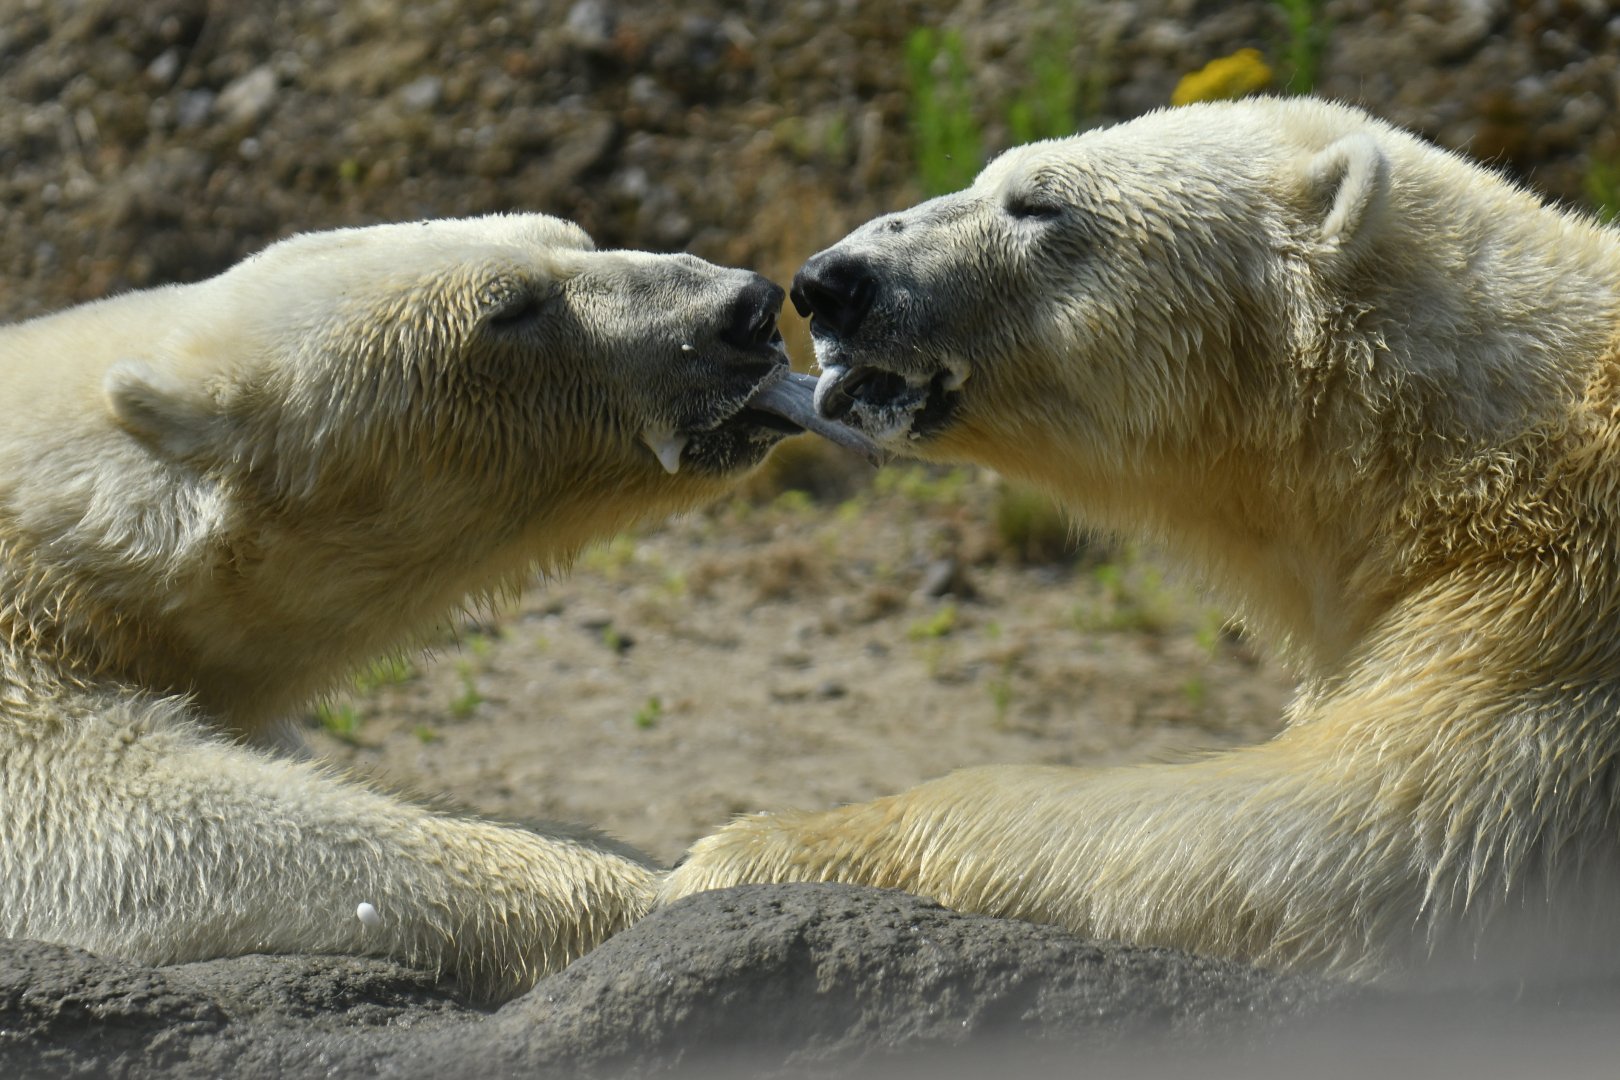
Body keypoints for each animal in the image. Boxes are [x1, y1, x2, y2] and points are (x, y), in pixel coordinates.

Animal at [662, 98, 1620, 986]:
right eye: (986, 175)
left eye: (1038, 201)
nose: (827, 282)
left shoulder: (1543, 611)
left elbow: (1353, 846)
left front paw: (745, 848)